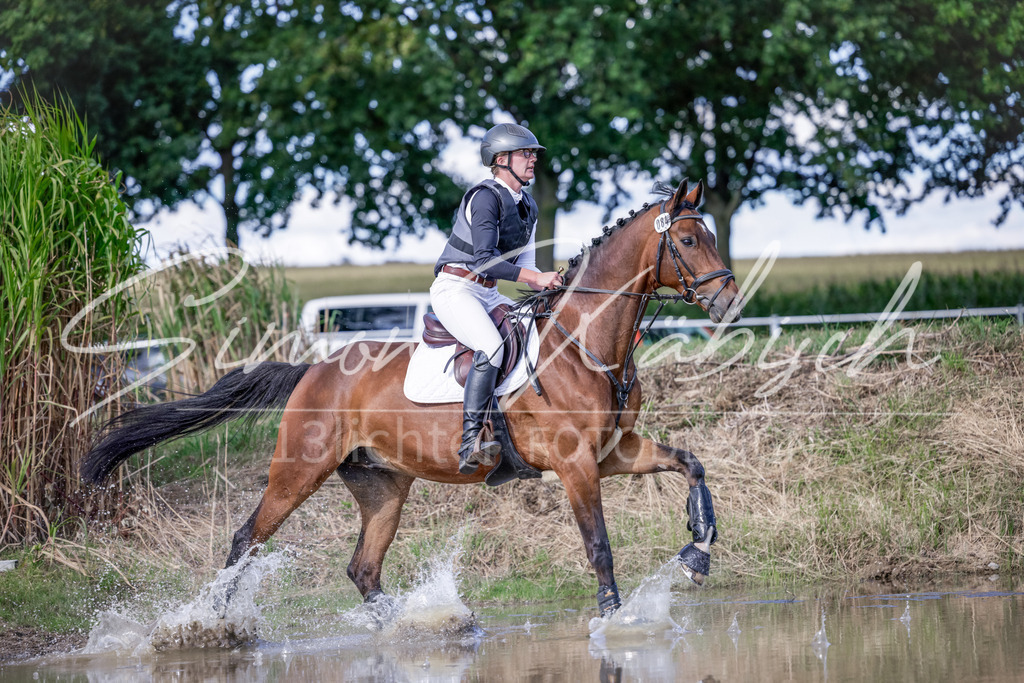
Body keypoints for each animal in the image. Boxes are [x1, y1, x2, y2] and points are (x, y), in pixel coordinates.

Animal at [82, 178, 743, 618]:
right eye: (688, 239)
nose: (730, 303)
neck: (584, 343)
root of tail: (314, 370)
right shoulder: (576, 464)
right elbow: (599, 543)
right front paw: (612, 614)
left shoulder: (613, 452)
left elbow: (691, 464)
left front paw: (698, 550)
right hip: (298, 470)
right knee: (249, 539)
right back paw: (211, 623)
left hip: (383, 485)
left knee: (363, 567)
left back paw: (415, 625)